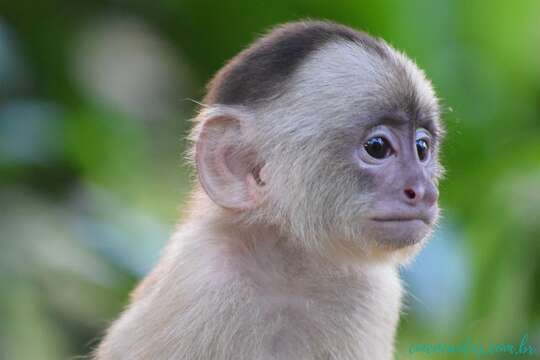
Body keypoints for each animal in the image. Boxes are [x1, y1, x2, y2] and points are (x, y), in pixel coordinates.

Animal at [95, 20, 446, 360]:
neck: (289, 271)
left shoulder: (373, 295)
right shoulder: (202, 281)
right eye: (377, 147)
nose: (423, 192)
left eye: (421, 148)